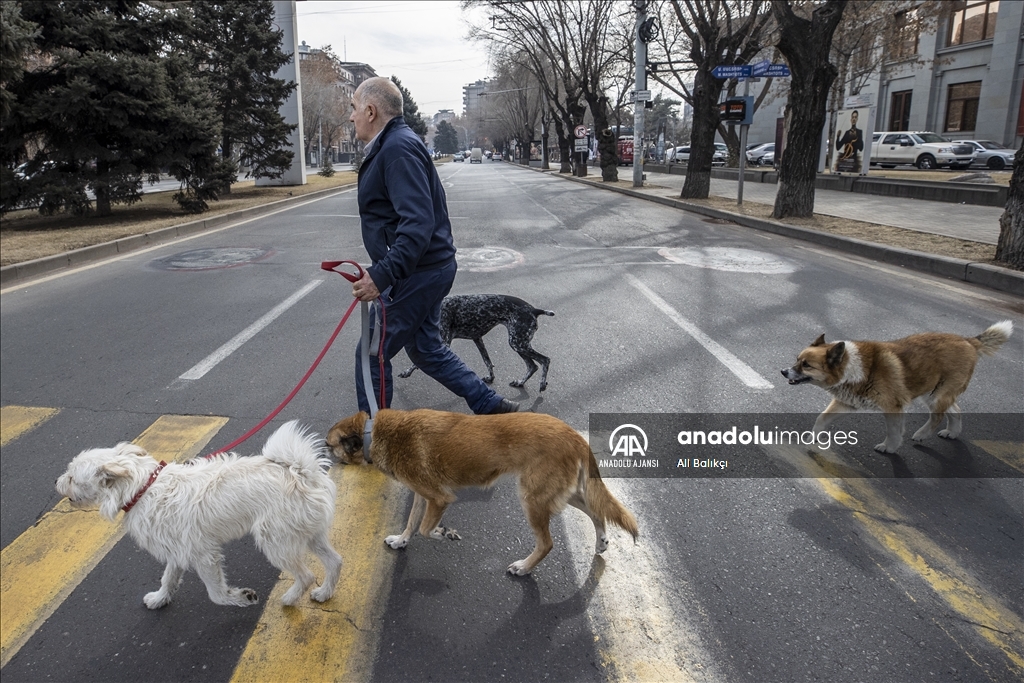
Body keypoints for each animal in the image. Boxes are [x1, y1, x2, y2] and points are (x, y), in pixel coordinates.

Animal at [55, 421, 344, 610]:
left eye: (71, 477)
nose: (56, 482)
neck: (142, 487)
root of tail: (301, 471)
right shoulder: (177, 550)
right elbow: (168, 578)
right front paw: (160, 598)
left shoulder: (203, 554)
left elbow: (216, 594)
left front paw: (241, 597)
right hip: (309, 534)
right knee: (335, 561)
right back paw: (324, 593)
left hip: (276, 541)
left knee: (306, 576)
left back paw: (290, 599)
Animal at [323, 409, 634, 573]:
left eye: (327, 446)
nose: (320, 462)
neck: (374, 434)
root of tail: (575, 435)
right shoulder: (423, 495)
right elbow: (411, 524)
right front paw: (401, 541)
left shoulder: (439, 498)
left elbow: (425, 528)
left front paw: (444, 533)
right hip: (558, 494)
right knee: (596, 511)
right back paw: (601, 541)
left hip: (532, 500)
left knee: (547, 543)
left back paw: (524, 567)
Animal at [397, 296, 557, 393]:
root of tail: (534, 310)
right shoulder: (477, 339)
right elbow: (488, 362)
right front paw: (490, 378)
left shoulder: (444, 344)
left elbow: (416, 362)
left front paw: (407, 372)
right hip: (519, 344)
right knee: (532, 366)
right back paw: (520, 382)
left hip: (518, 343)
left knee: (545, 360)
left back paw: (542, 384)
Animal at [782, 321, 1015, 454]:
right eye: (797, 360)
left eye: (806, 365)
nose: (783, 372)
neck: (855, 367)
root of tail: (968, 341)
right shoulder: (846, 403)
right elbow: (821, 419)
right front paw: (812, 441)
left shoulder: (893, 408)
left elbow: (893, 431)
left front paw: (890, 448)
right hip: (933, 393)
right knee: (955, 411)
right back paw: (952, 432)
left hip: (937, 396)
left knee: (938, 416)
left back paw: (922, 434)